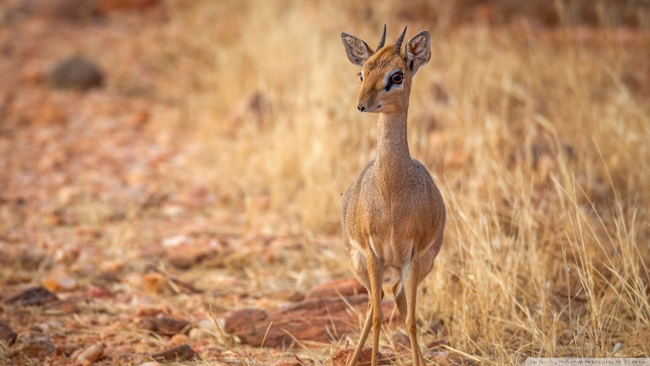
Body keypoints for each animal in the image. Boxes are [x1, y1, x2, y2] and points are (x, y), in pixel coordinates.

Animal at [340, 26, 446, 366]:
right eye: (362, 73)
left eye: (396, 76)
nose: (362, 105)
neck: (390, 193)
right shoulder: (373, 253)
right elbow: (376, 317)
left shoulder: (412, 256)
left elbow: (411, 320)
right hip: (362, 263)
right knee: (376, 302)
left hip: (418, 265)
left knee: (396, 296)